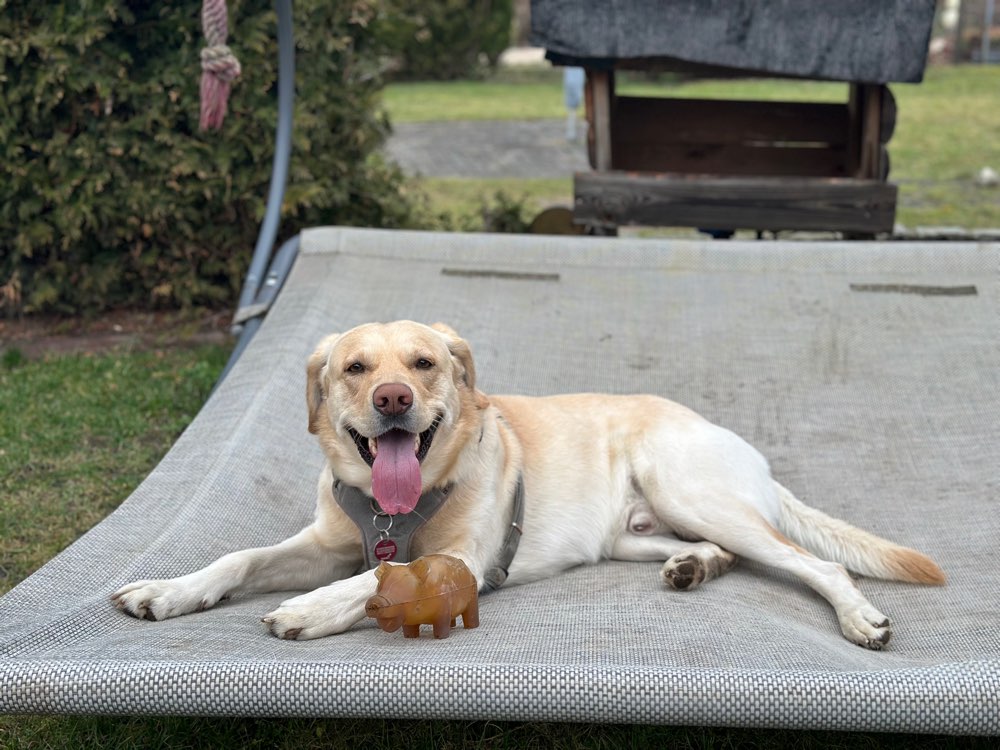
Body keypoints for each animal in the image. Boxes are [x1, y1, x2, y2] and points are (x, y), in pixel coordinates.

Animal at [113, 320, 940, 648]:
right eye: (355, 368)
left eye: (423, 363)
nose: (393, 399)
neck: (393, 510)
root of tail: (746, 449)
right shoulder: (326, 541)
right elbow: (239, 558)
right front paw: (168, 591)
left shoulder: (460, 563)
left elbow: (379, 578)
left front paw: (309, 610)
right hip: (632, 534)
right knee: (724, 551)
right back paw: (692, 567)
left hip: (689, 489)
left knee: (815, 562)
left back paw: (858, 617)